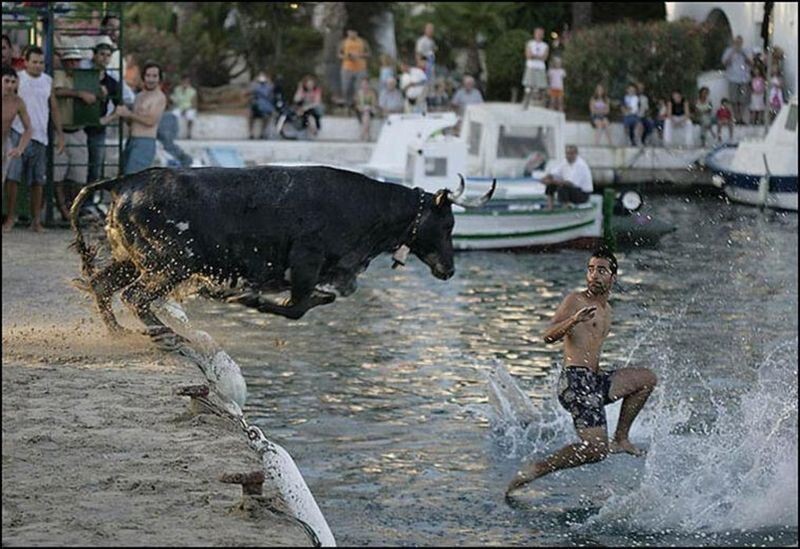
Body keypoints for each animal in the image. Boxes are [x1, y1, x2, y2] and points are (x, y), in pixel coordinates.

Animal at [70, 165, 494, 346]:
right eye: (447, 224)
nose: (449, 270)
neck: (366, 206)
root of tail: (126, 181)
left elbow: (316, 301)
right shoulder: (306, 262)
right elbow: (297, 307)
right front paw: (243, 297)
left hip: (132, 260)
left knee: (102, 285)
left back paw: (119, 331)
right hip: (172, 262)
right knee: (135, 296)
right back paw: (164, 332)